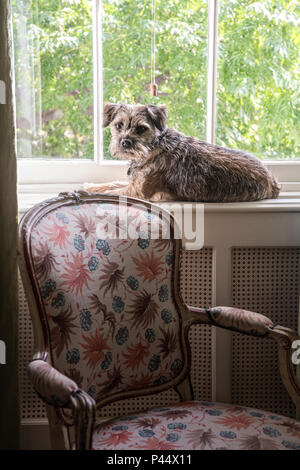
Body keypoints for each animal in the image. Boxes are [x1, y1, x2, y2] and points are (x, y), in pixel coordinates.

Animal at [88, 103, 280, 202]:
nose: (125, 142)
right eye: (118, 125)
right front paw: (90, 186)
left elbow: (114, 191)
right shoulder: (134, 183)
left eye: (141, 128)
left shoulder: (138, 191)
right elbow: (113, 183)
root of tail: (273, 181)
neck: (154, 146)